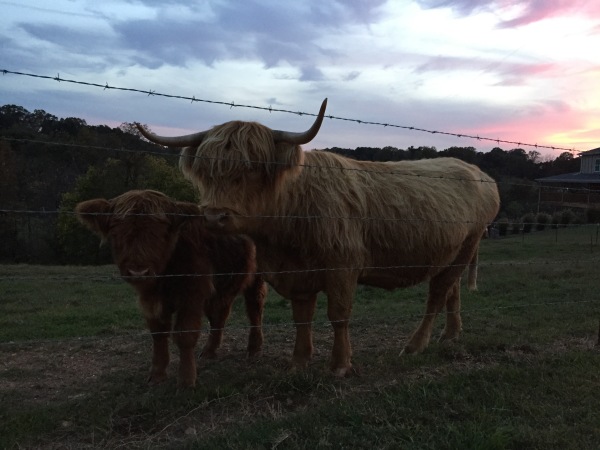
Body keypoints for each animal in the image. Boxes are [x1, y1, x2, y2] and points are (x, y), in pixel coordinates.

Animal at [137, 101, 502, 376]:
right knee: (452, 290)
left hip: (467, 245)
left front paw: (340, 365)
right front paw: (299, 361)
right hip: (450, 253)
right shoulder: (296, 272)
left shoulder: (342, 266)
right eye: (207, 171)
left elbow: (338, 314)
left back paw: (415, 345)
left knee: (437, 295)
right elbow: (302, 317)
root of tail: (478, 173)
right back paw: (450, 335)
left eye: (253, 168)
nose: (215, 216)